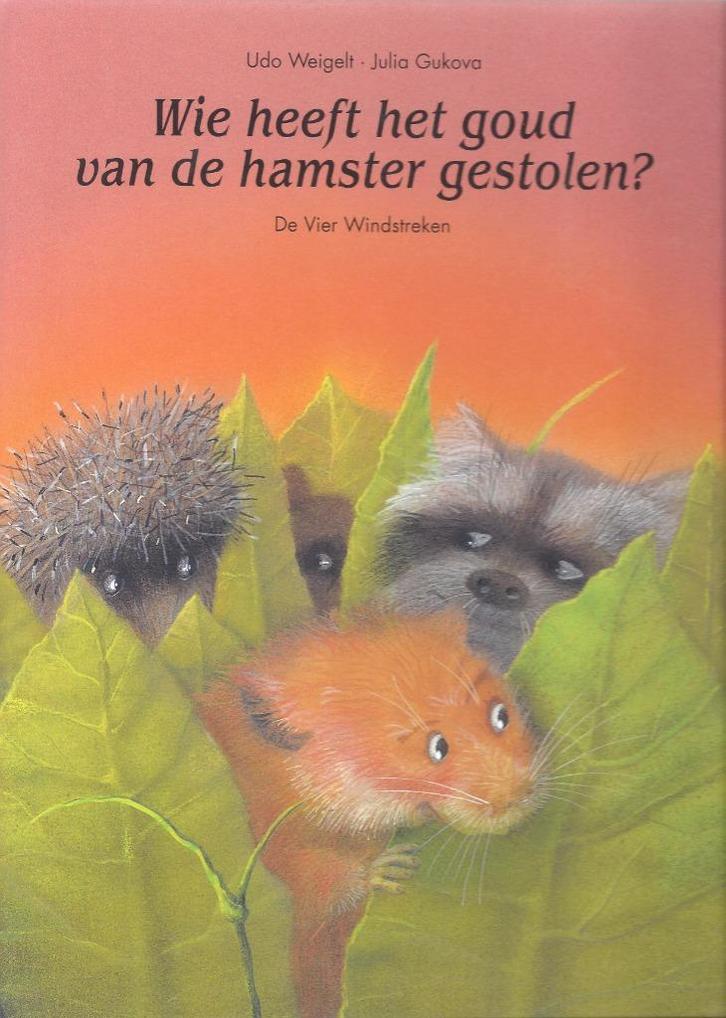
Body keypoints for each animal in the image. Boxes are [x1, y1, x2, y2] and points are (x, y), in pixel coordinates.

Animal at [198, 612, 539, 1018]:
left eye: (501, 716)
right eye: (437, 747)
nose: (515, 798)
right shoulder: (277, 832)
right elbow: (315, 876)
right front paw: (383, 869)